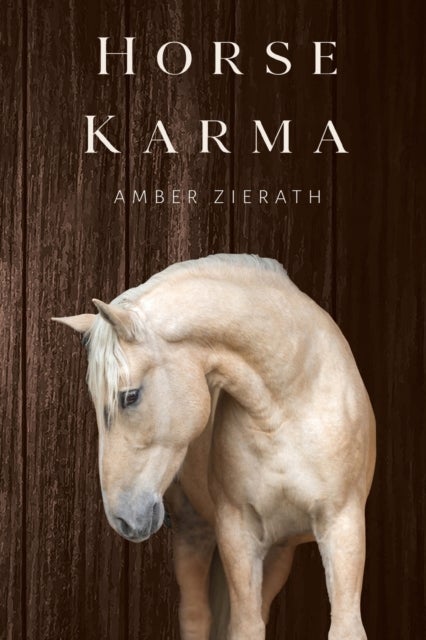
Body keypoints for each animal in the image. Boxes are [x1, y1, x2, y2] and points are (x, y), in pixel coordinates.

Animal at [53, 254, 375, 640]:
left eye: (130, 396)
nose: (123, 519)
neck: (292, 400)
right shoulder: (238, 531)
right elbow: (244, 627)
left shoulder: (343, 525)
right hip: (195, 531)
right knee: (196, 616)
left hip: (277, 551)